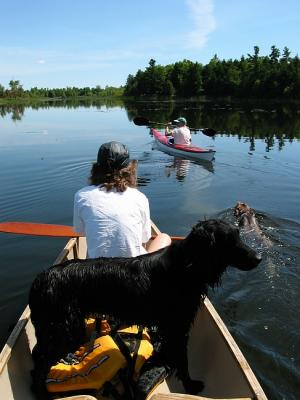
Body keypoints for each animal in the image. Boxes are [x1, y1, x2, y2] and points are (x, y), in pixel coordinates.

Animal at [29, 219, 262, 396]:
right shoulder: (178, 327)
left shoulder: (170, 328)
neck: (186, 267)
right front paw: (190, 386)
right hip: (63, 327)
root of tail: (41, 279)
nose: (259, 258)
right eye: (229, 241)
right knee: (40, 362)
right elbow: (183, 361)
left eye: (239, 235)